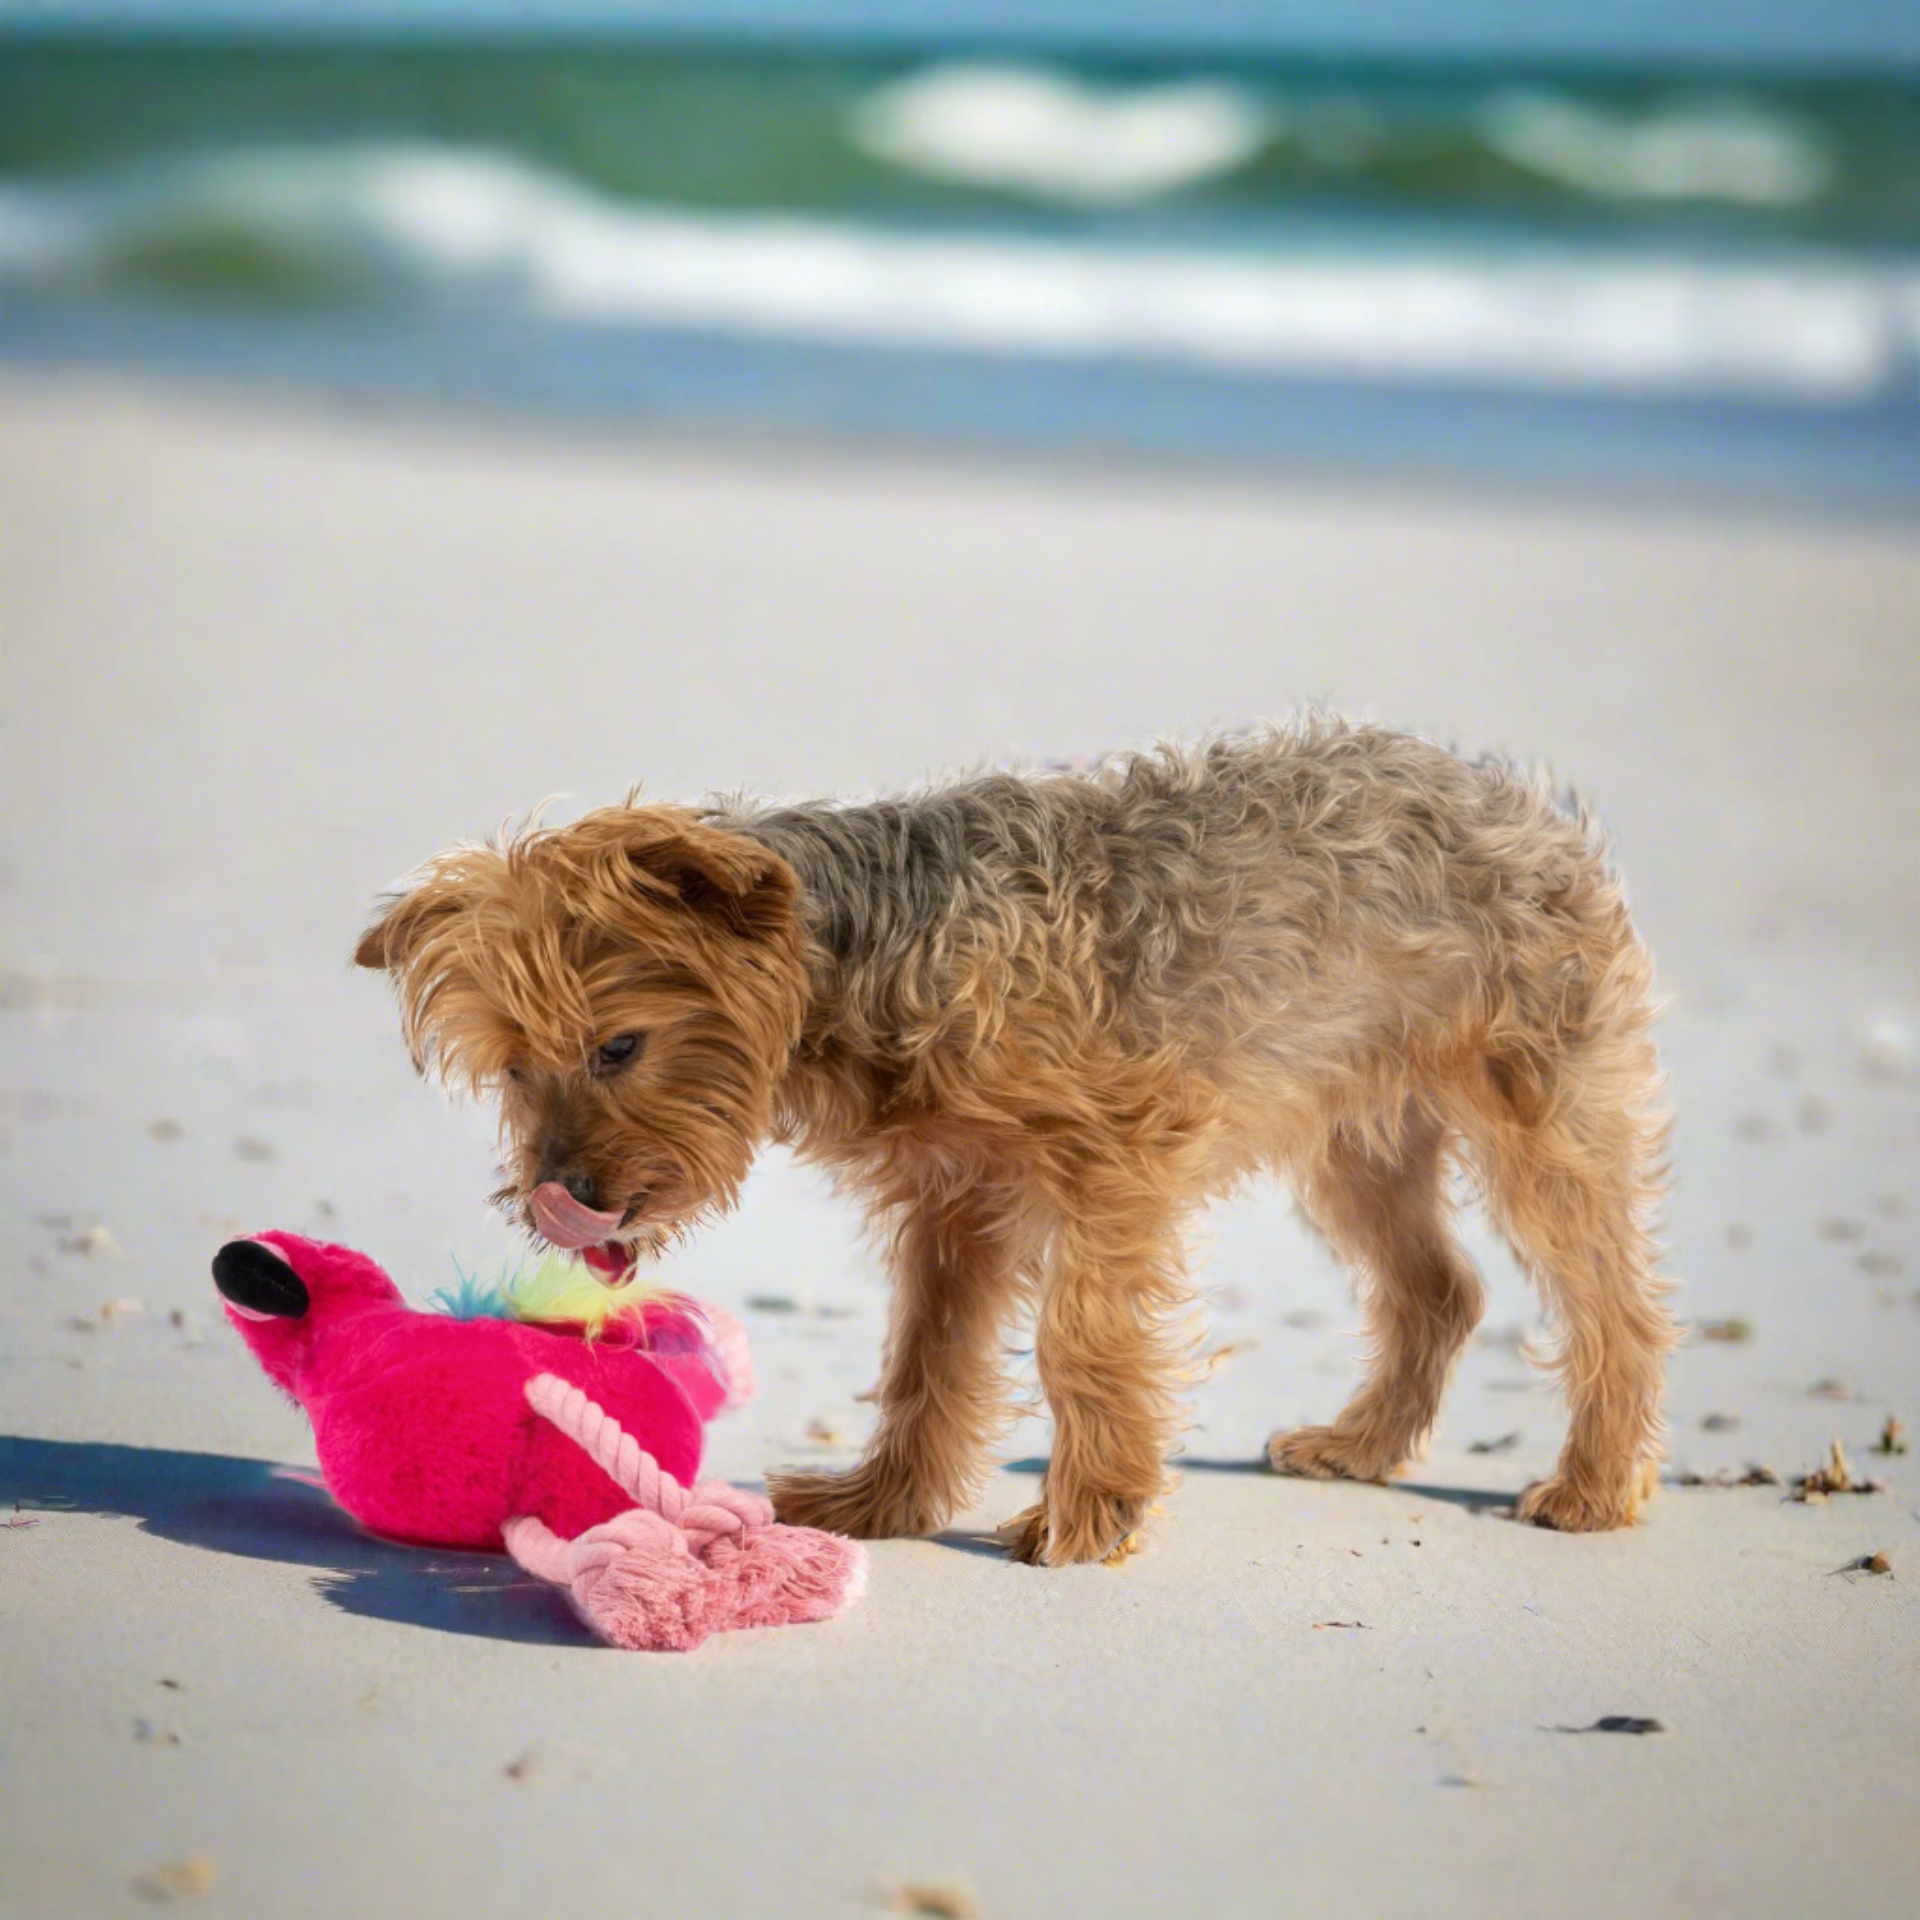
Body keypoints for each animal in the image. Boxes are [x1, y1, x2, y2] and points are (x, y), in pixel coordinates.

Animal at [357, 721, 1666, 1559]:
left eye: (619, 1046)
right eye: (517, 1068)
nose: (560, 1194)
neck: (864, 960)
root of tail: (1529, 805)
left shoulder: (1110, 1168)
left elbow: (1079, 1345)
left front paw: (1084, 1521)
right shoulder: (959, 1198)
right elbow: (929, 1356)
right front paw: (885, 1503)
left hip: (1540, 1113)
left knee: (1613, 1303)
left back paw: (1595, 1486)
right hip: (1357, 1134)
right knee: (1438, 1286)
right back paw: (1363, 1444)